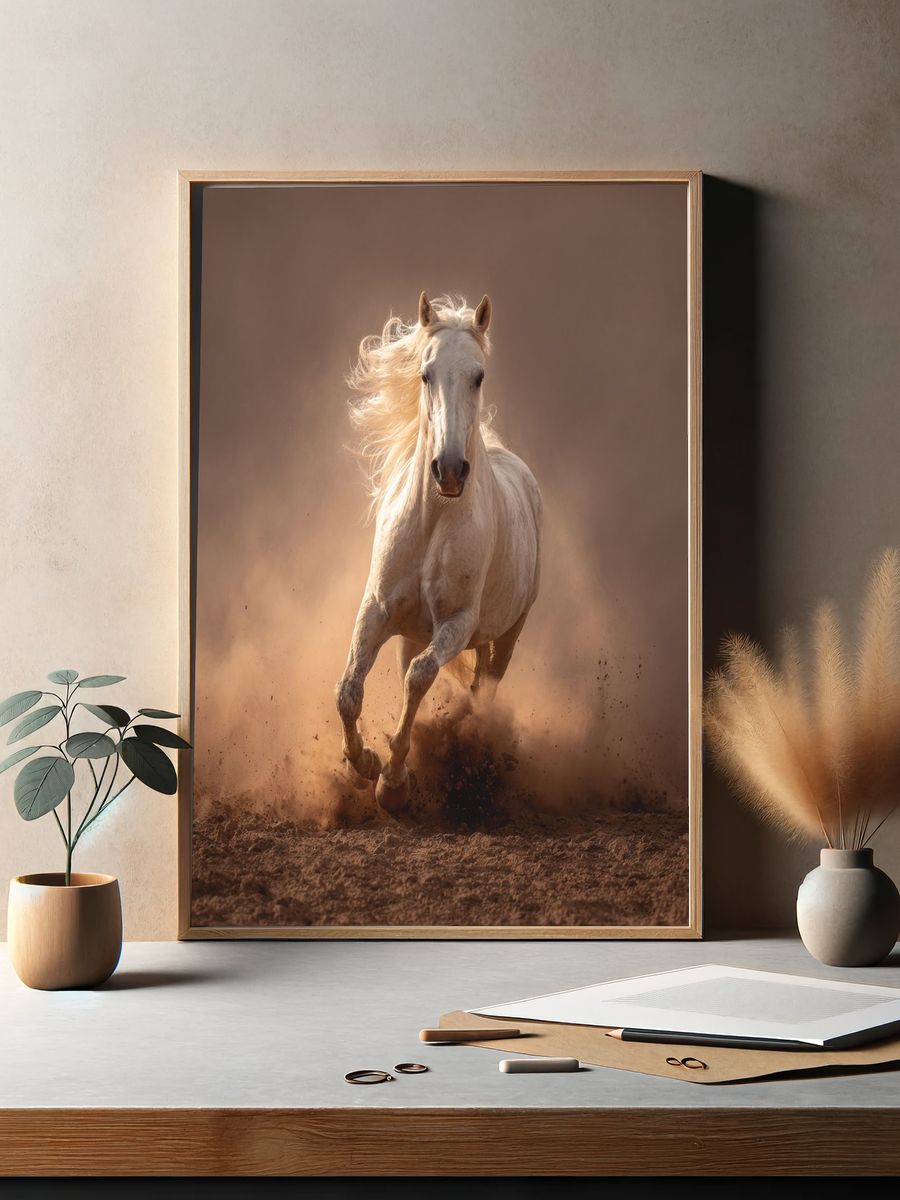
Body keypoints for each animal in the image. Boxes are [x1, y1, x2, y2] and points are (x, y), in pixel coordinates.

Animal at [336, 292, 542, 813]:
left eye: (479, 375)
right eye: (426, 374)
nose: (449, 471)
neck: (433, 524)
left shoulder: (457, 622)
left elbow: (420, 677)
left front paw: (392, 782)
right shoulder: (377, 609)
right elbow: (348, 691)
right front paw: (364, 762)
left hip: (509, 632)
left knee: (483, 690)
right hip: (413, 632)